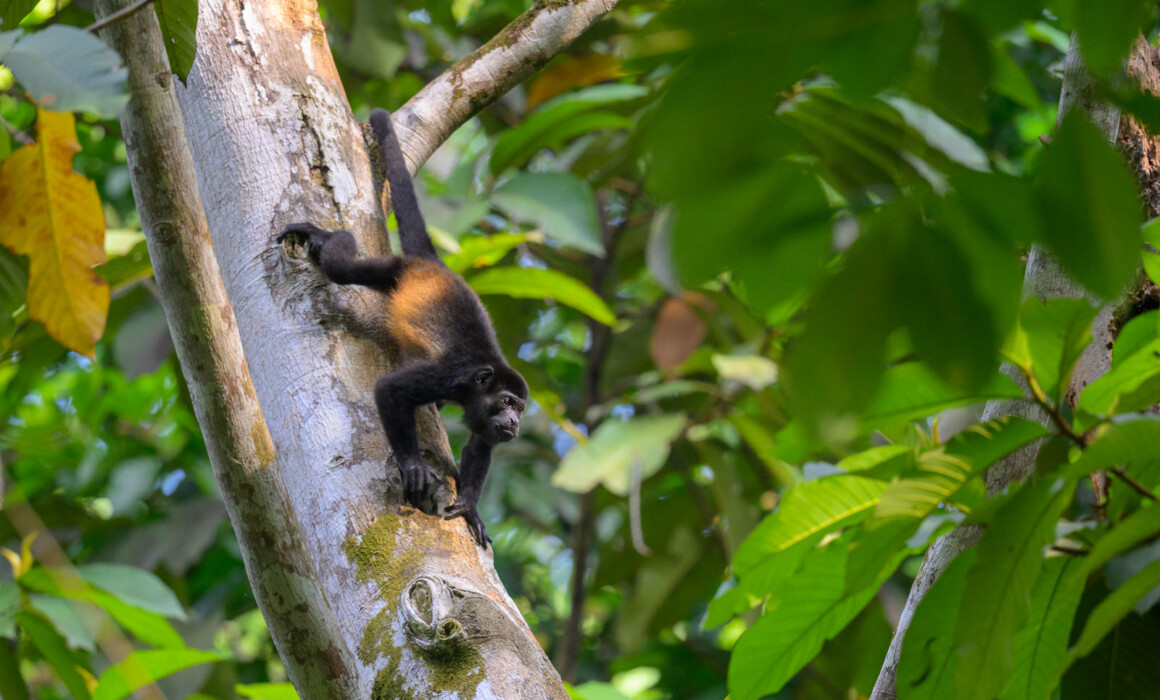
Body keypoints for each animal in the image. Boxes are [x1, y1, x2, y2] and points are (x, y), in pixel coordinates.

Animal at [277, 108, 528, 547]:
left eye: (521, 409)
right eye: (508, 402)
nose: (514, 423)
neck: (478, 379)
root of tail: (433, 265)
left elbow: (480, 444)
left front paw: (471, 506)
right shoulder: (451, 375)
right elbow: (390, 390)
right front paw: (412, 464)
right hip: (395, 269)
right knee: (344, 269)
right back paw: (328, 236)